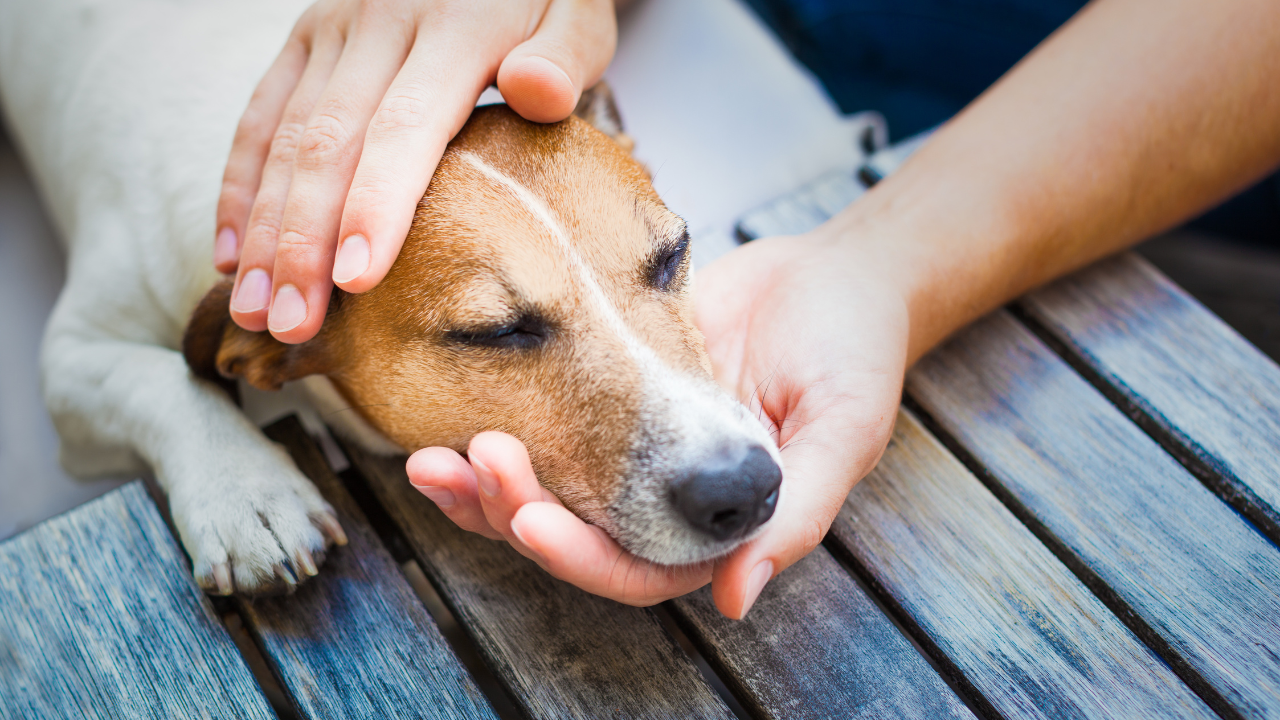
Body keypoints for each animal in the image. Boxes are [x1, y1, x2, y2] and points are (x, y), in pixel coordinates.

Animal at [0, 1, 778, 594]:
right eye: (497, 332)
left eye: (672, 255)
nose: (744, 487)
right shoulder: (72, 358)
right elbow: (162, 379)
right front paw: (245, 493)